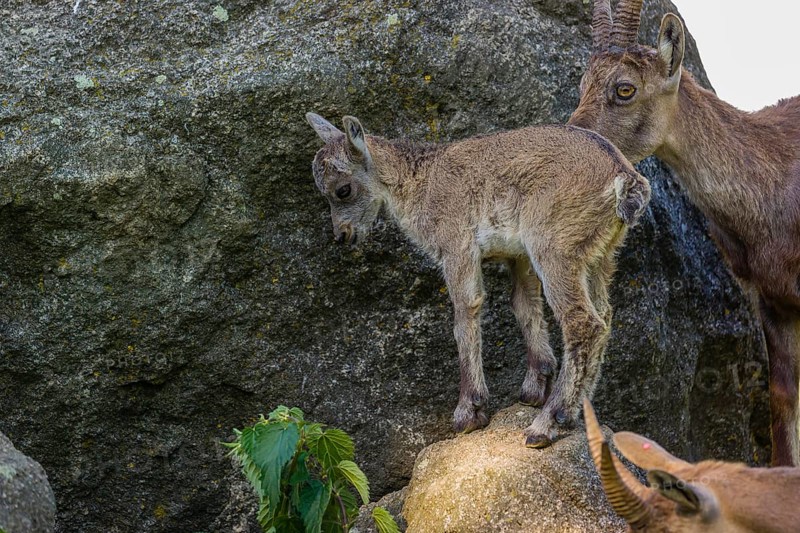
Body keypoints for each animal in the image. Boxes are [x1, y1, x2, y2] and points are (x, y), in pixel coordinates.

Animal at [305, 112, 650, 447]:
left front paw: (469, 412)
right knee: (604, 317)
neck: (420, 183)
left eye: (343, 190)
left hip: (555, 246)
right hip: (599, 256)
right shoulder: (519, 257)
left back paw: (545, 425)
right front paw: (532, 389)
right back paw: (574, 413)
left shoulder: (457, 246)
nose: (342, 235)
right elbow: (524, 306)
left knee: (583, 322)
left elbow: (465, 313)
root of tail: (624, 179)